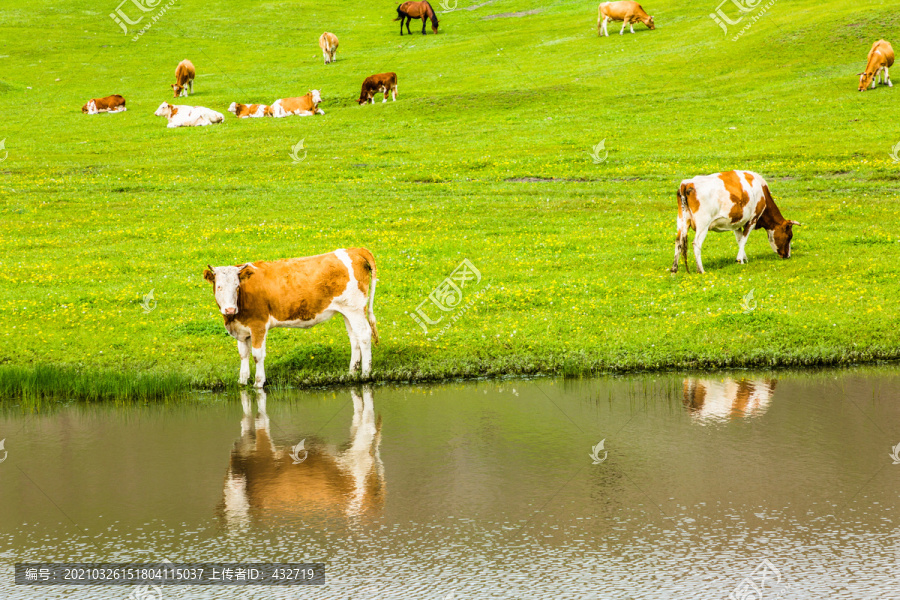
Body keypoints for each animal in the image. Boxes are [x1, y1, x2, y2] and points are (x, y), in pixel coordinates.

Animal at [202, 248, 378, 390]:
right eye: (219, 287)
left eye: (237, 286)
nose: (230, 309)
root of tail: (353, 249)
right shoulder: (242, 330)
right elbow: (243, 354)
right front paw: (242, 382)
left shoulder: (258, 325)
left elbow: (257, 355)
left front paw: (258, 383)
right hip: (347, 311)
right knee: (354, 338)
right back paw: (351, 374)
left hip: (355, 308)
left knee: (364, 335)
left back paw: (365, 375)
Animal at [668, 168, 800, 274]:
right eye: (789, 236)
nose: (787, 256)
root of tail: (686, 183)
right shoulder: (752, 219)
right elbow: (744, 240)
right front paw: (740, 260)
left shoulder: (737, 223)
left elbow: (739, 239)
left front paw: (743, 258)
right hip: (703, 224)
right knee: (696, 244)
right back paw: (701, 270)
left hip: (682, 221)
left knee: (678, 241)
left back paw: (674, 269)